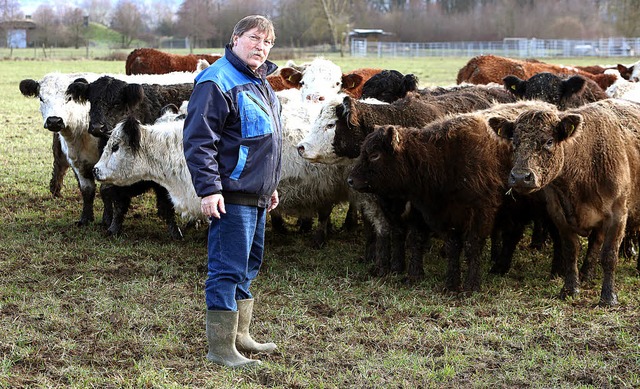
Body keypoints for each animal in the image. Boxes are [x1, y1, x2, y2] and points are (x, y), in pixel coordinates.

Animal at [488, 98, 640, 304]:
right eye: (515, 141)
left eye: (549, 141)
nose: (520, 177)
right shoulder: (558, 213)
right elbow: (570, 251)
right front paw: (570, 289)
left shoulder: (618, 215)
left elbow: (609, 255)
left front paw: (608, 297)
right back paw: (586, 274)